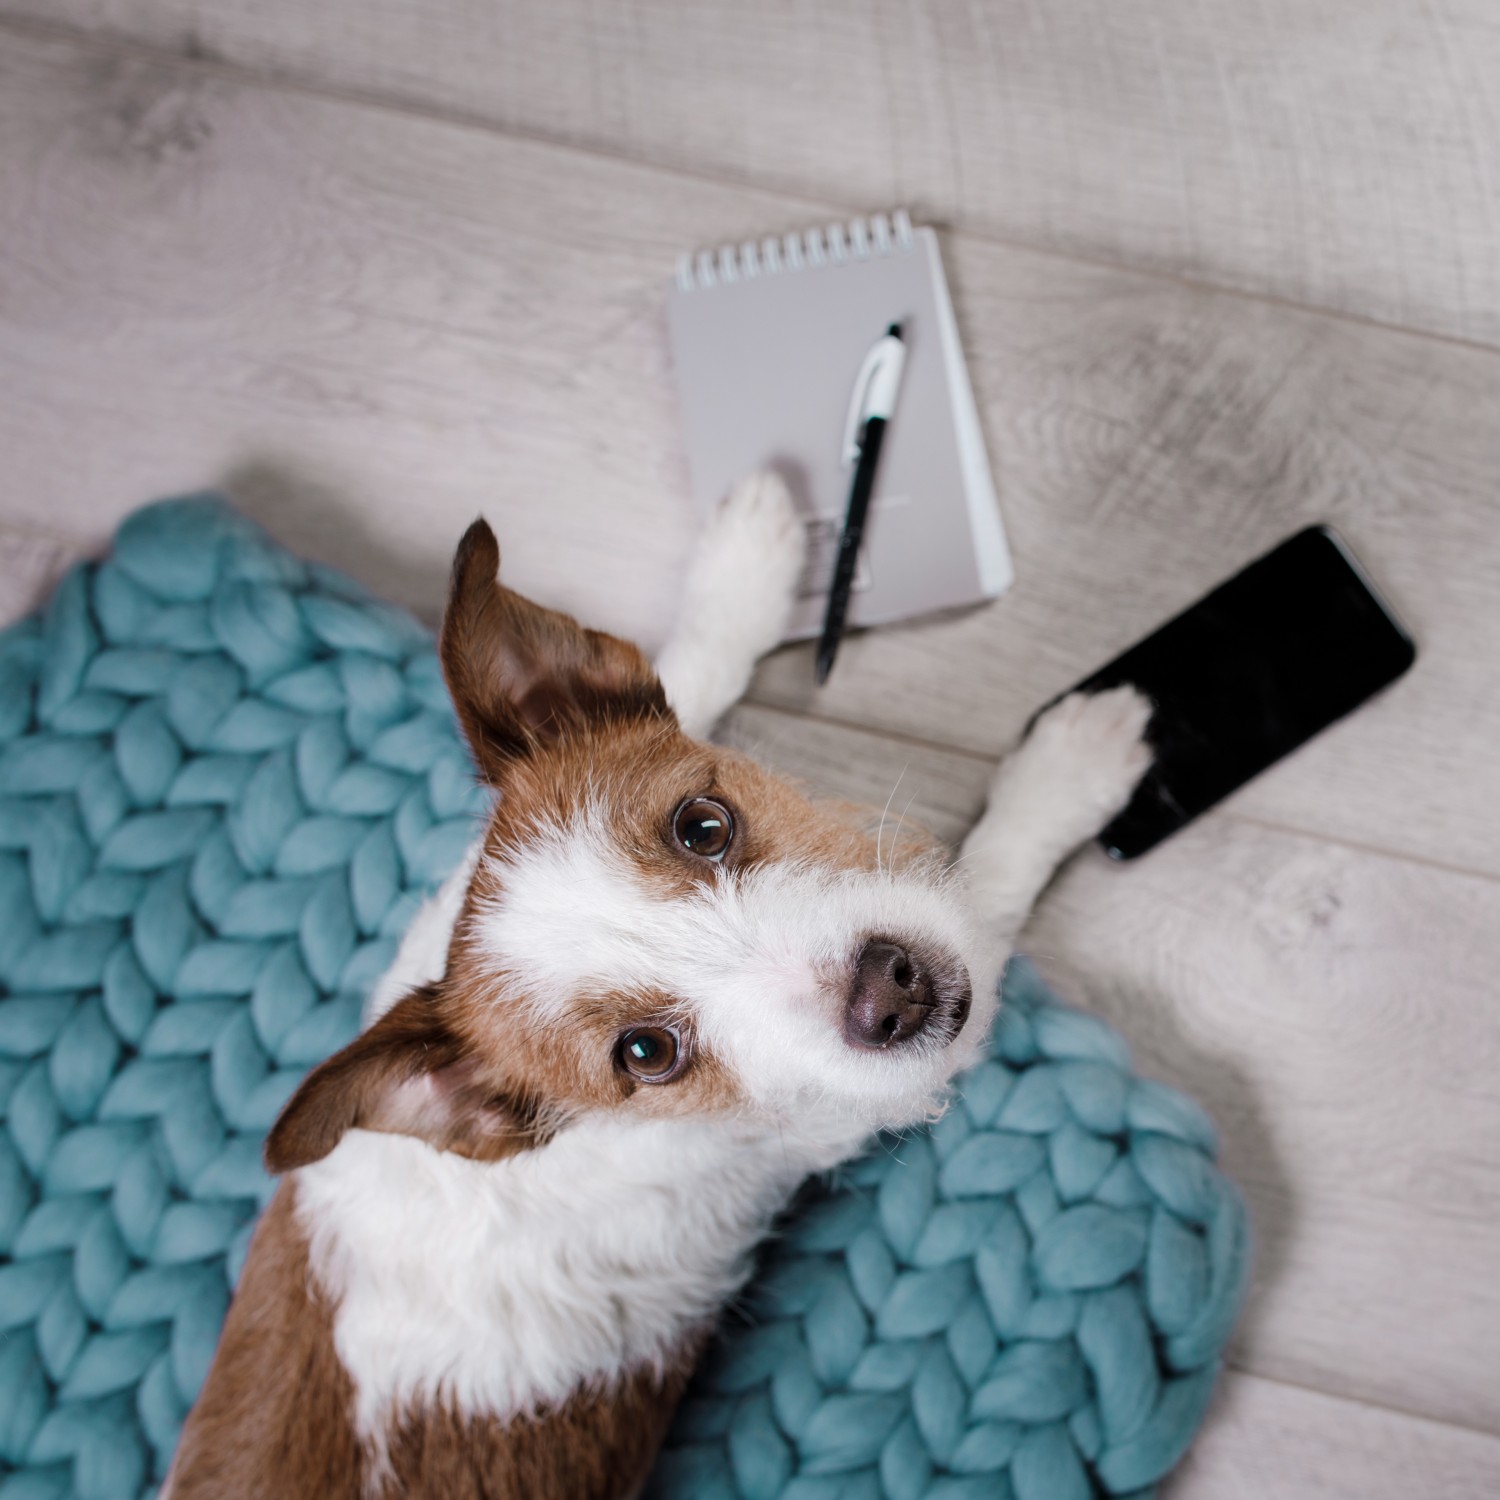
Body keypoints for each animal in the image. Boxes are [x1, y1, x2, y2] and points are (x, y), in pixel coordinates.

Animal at [167, 477, 1146, 1500]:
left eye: (702, 824)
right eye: (647, 1054)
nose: (890, 995)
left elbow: (690, 673)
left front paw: (744, 570)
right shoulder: (845, 1105)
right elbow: (989, 889)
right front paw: (1070, 772)